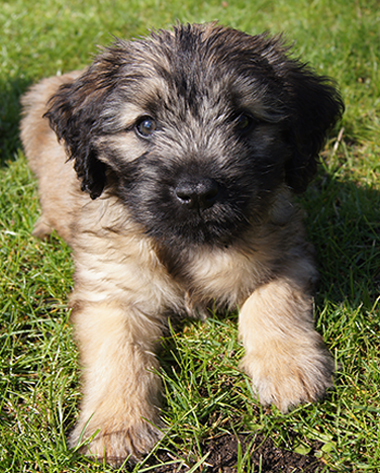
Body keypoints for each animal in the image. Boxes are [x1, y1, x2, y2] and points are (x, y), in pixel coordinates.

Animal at [20, 23, 344, 464]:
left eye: (244, 119)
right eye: (144, 125)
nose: (197, 193)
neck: (186, 242)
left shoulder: (287, 251)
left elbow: (271, 301)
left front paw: (289, 369)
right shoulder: (109, 291)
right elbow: (117, 353)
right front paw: (116, 426)